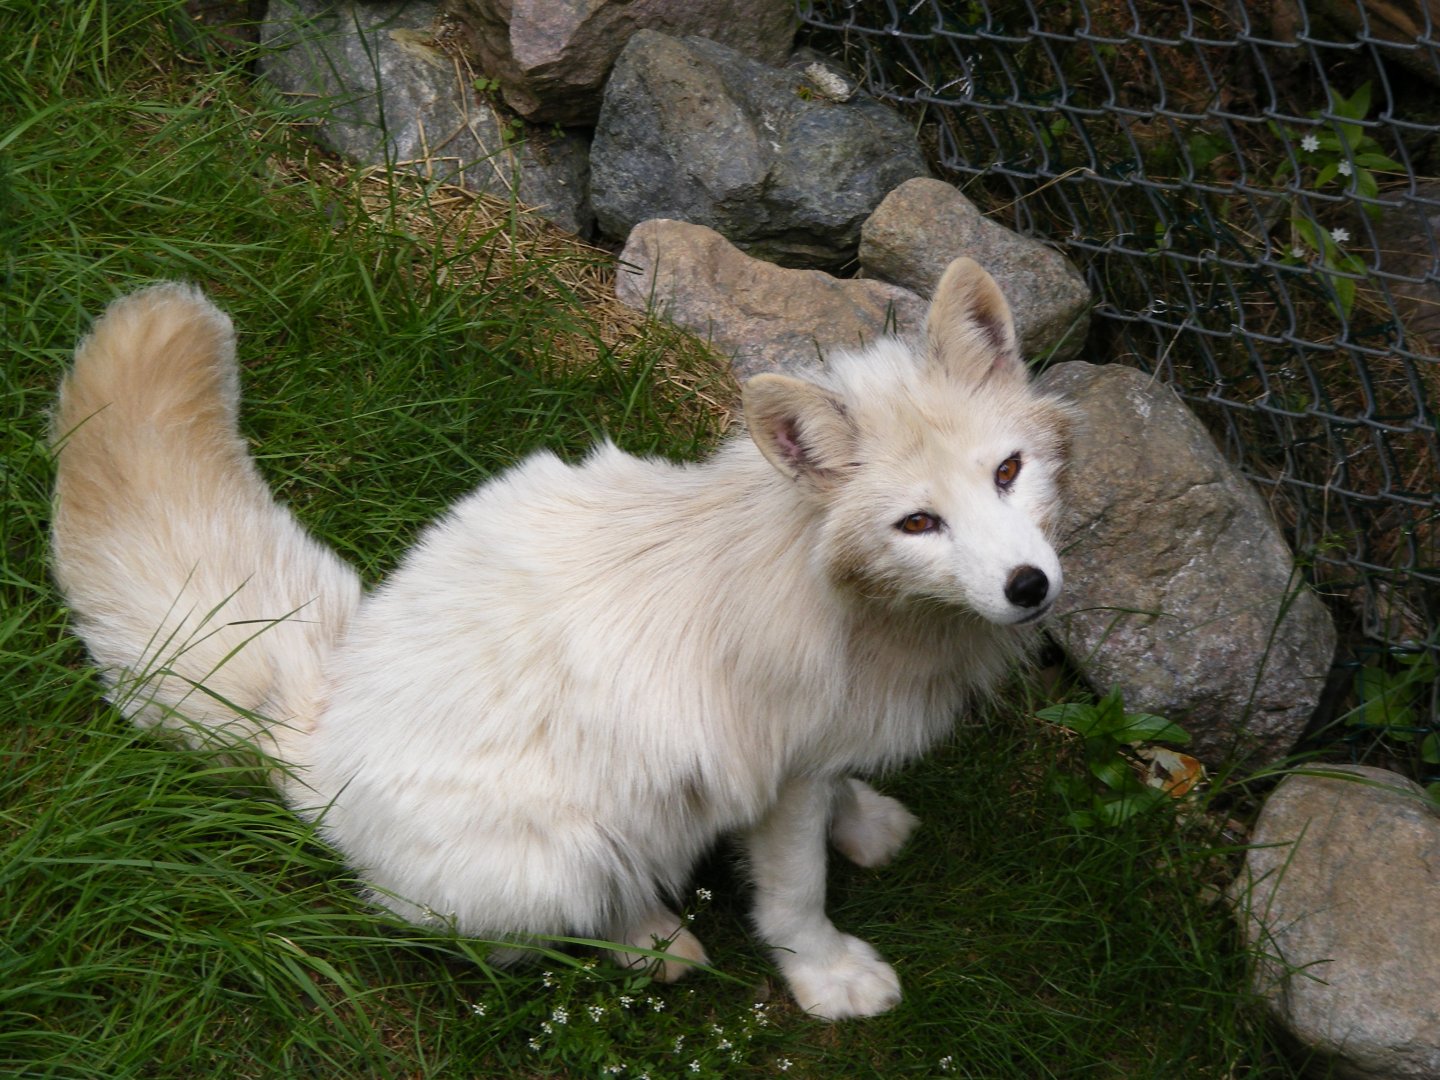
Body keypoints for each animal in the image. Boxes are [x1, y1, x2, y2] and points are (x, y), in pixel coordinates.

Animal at [50, 257, 1072, 1020]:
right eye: (918, 523)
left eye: (1008, 472)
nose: (1030, 588)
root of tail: (322, 731)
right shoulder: (774, 777)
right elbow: (795, 894)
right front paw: (828, 978)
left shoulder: (824, 749)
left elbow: (842, 800)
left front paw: (866, 823)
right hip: (568, 854)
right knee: (540, 927)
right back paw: (650, 941)